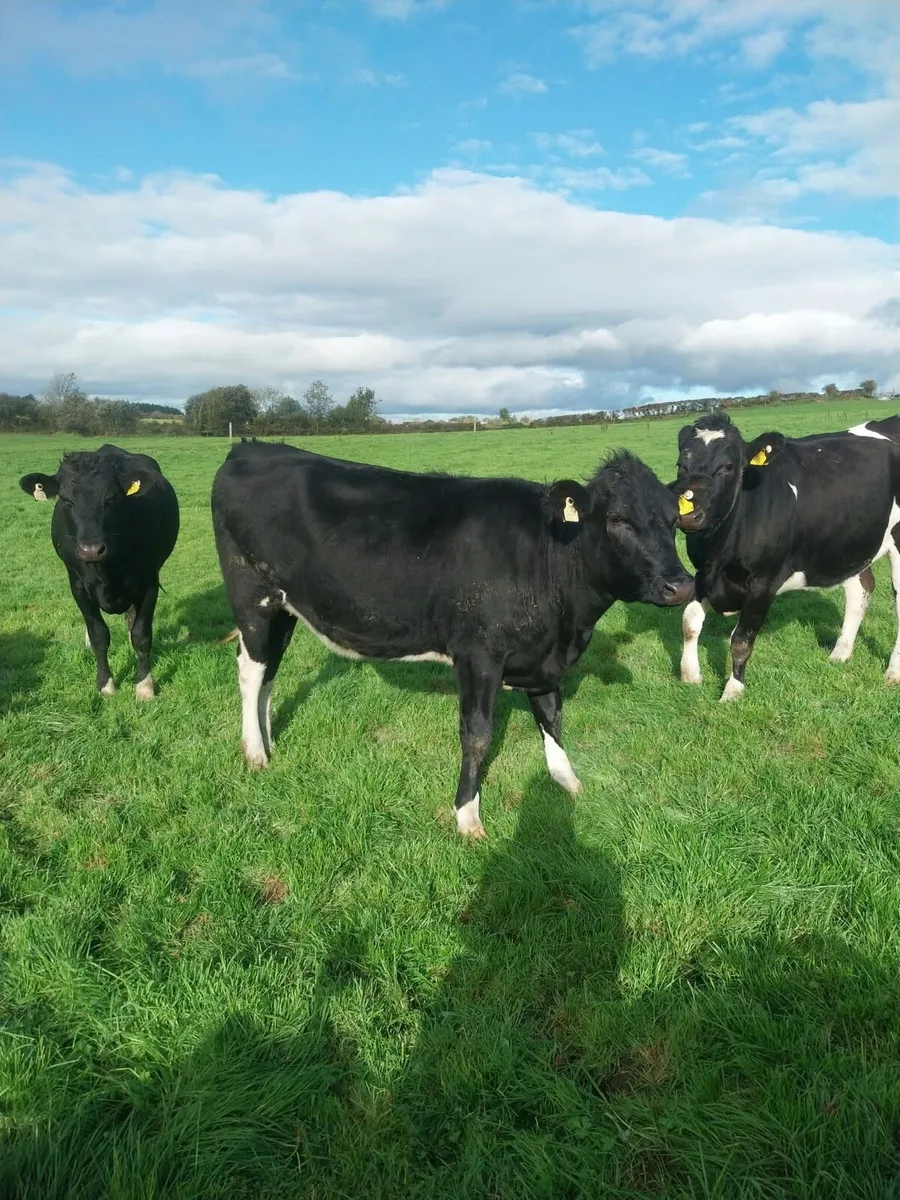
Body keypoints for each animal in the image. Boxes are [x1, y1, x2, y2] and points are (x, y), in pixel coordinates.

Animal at [19, 445, 180, 699]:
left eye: (111, 498)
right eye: (65, 499)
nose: (91, 549)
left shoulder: (149, 581)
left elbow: (142, 635)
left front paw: (144, 685)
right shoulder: (78, 585)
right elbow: (98, 635)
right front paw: (105, 683)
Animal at [211, 441, 693, 838]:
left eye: (674, 520)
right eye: (617, 519)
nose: (681, 586)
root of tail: (251, 446)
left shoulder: (545, 657)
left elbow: (552, 717)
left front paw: (567, 780)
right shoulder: (479, 654)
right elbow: (477, 734)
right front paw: (467, 815)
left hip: (286, 607)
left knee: (270, 671)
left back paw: (269, 741)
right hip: (251, 595)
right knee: (250, 671)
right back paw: (254, 753)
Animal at [671, 413, 900, 701]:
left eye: (728, 466)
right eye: (681, 464)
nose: (689, 515)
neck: (720, 553)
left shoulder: (763, 583)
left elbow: (741, 640)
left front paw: (732, 692)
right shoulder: (703, 574)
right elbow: (689, 622)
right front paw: (690, 675)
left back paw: (893, 673)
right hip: (851, 541)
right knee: (861, 589)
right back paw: (840, 654)